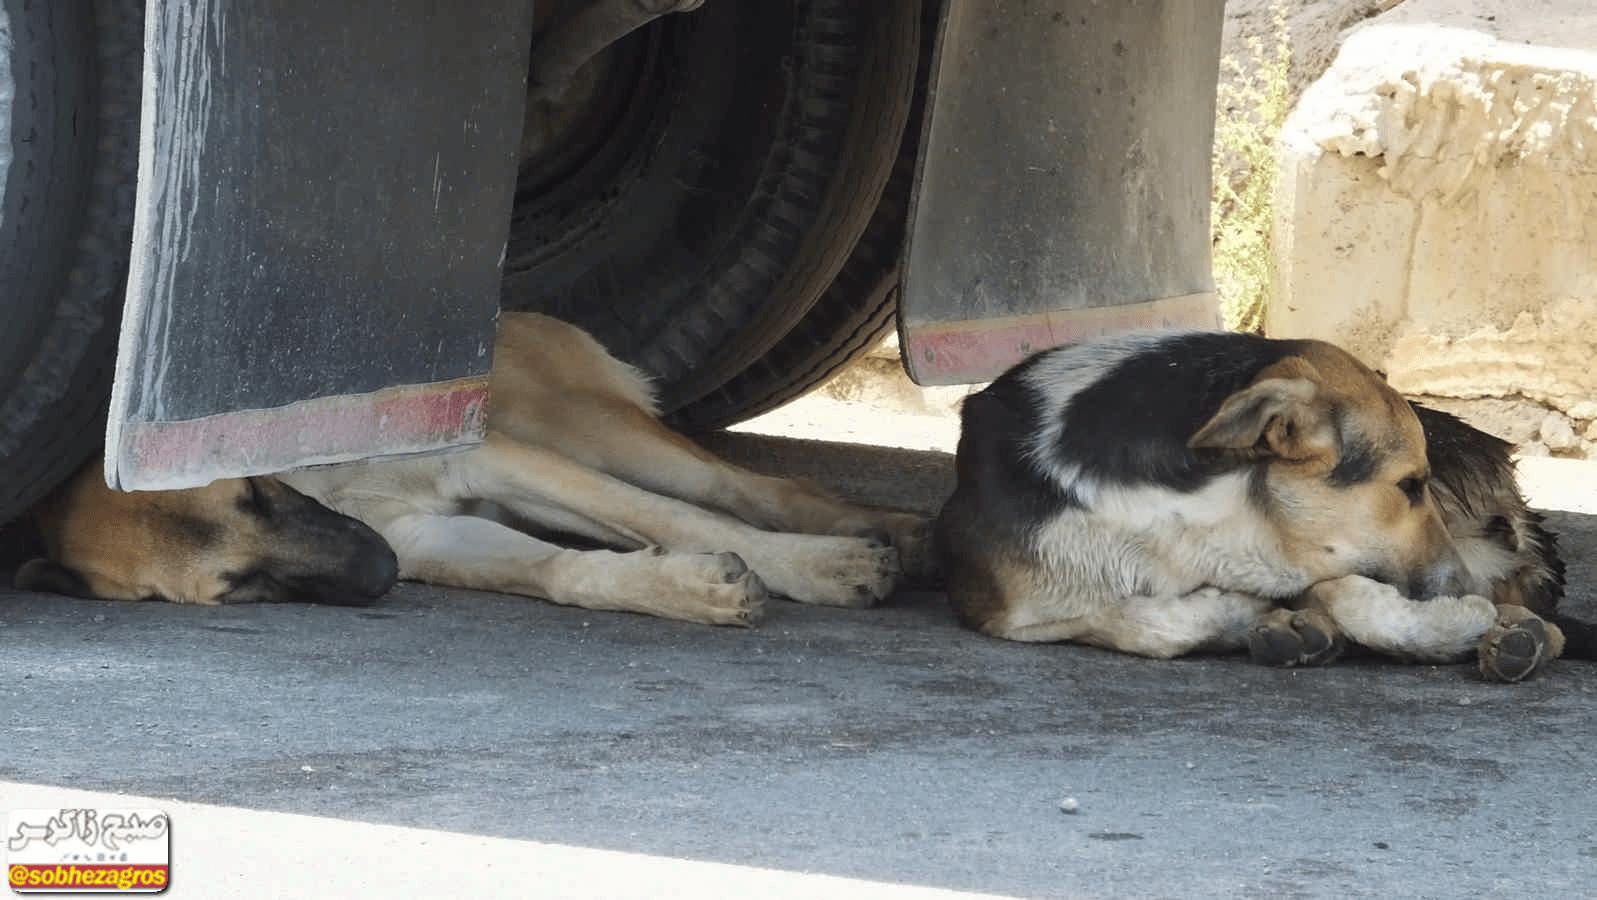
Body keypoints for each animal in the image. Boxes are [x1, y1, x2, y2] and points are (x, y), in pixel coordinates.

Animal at [15, 312, 926, 628]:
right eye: (240, 586)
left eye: (259, 493)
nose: (380, 574)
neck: (327, 482)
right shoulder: (427, 535)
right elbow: (563, 572)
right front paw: (675, 588)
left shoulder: (500, 462)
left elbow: (679, 521)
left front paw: (814, 567)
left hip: (598, 435)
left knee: (746, 489)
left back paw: (874, 531)